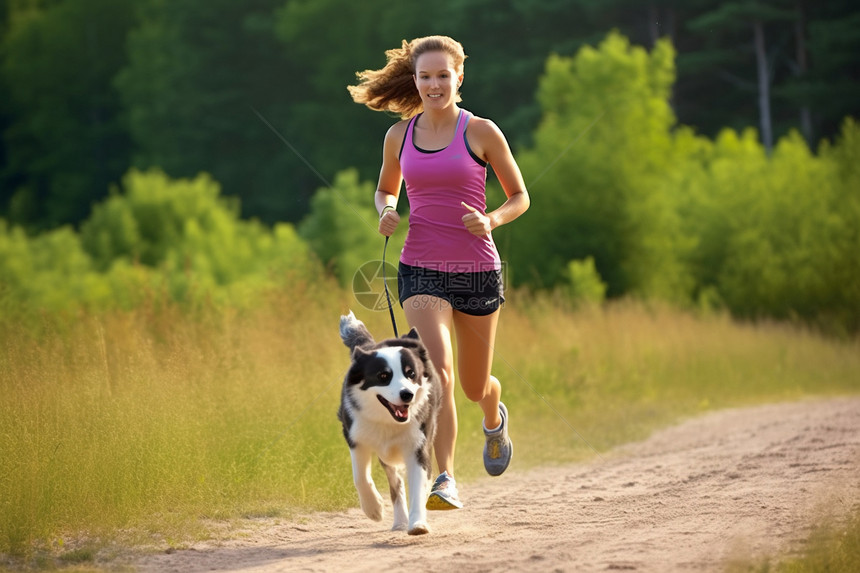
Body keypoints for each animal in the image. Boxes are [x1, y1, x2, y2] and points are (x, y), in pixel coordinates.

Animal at [338, 310, 440, 536]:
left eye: (411, 374)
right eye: (383, 376)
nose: (407, 395)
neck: (388, 421)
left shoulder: (418, 444)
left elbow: (418, 485)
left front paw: (418, 524)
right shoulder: (356, 437)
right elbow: (360, 477)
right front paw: (374, 509)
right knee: (395, 481)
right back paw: (399, 521)